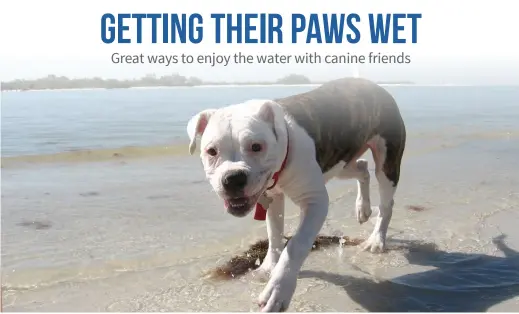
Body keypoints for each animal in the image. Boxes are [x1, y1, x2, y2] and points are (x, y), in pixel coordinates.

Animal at [186, 78, 406, 312]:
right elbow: (274, 234)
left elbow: (296, 244)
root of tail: (372, 84)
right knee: (363, 168)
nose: (233, 178)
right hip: (341, 162)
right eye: (211, 151)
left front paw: (278, 289)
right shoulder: (272, 197)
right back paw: (362, 208)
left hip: (387, 161)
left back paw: (377, 239)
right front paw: (268, 267)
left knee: (386, 203)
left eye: (256, 146)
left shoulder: (315, 201)